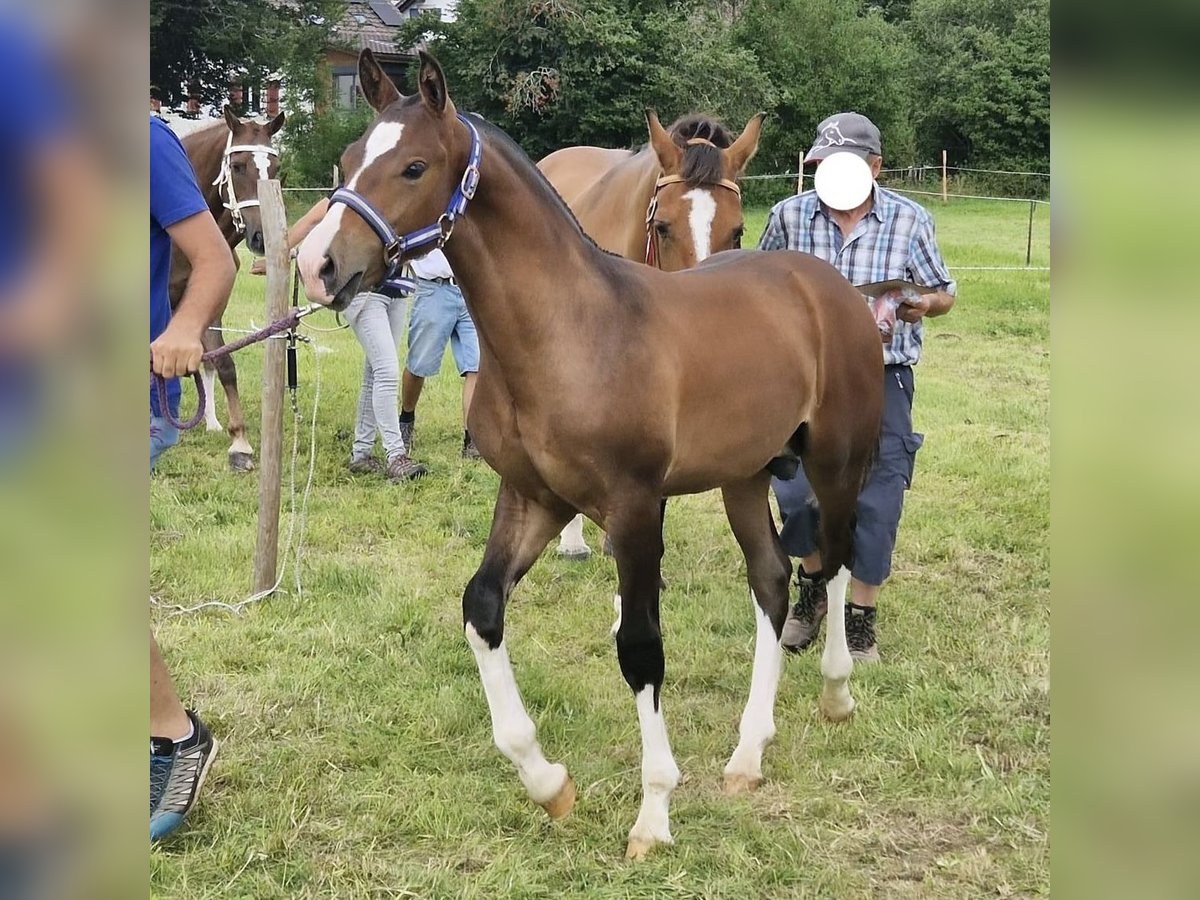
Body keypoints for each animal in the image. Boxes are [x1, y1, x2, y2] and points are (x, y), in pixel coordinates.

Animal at [170, 105, 284, 472]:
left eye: (275, 168)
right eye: (237, 166)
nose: (260, 237)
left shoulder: (210, 306)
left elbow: (221, 363)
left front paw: (238, 440)